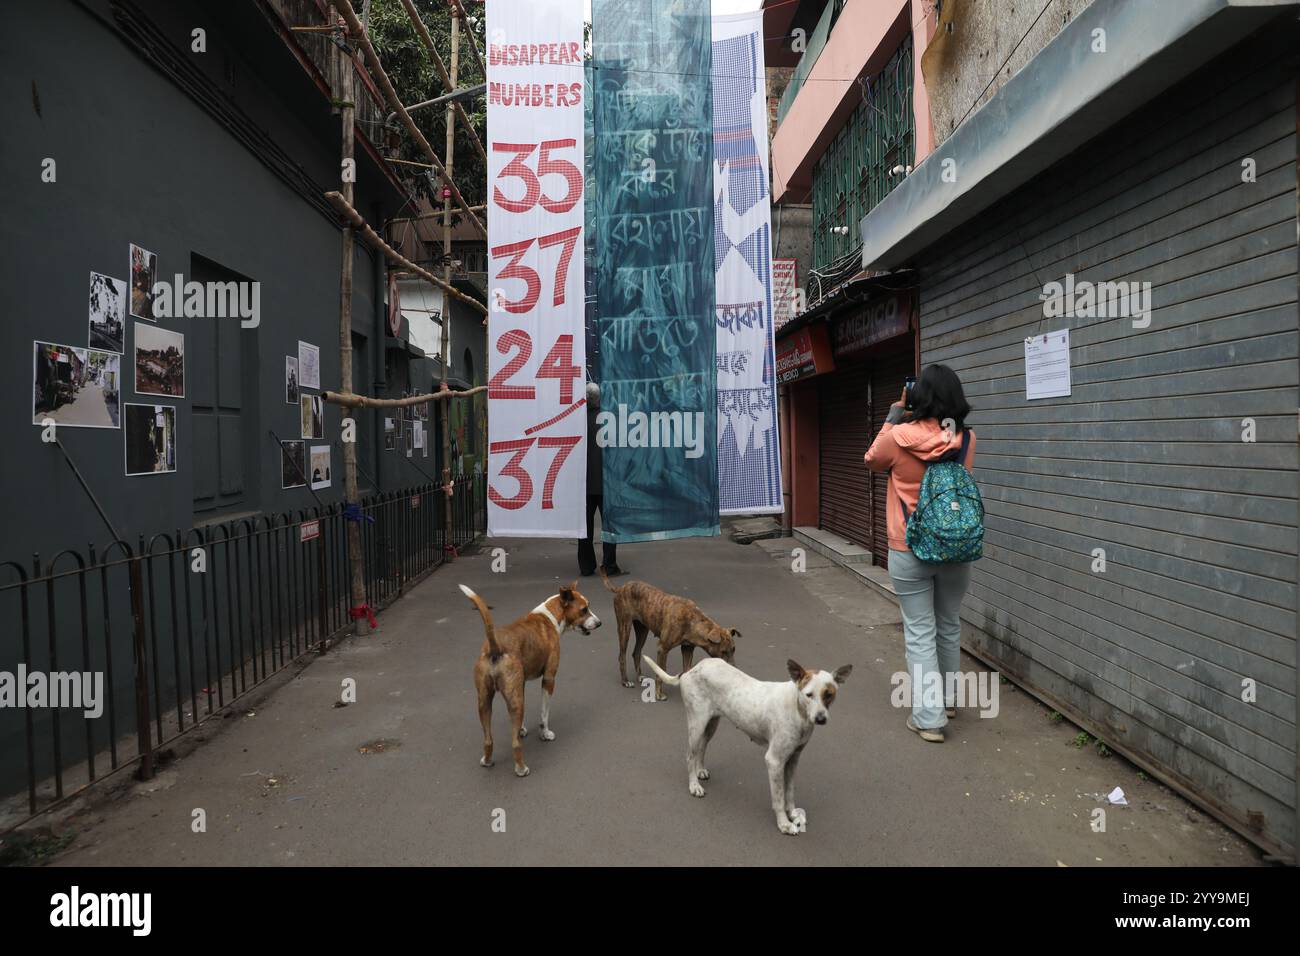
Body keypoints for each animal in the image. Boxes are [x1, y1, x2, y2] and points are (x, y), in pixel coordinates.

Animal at [457, 582, 598, 780]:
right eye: (584, 609)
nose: (599, 623)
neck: (550, 616)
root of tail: (495, 646)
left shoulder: (520, 686)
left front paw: (522, 729)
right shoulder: (549, 679)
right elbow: (544, 714)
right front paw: (545, 734)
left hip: (485, 702)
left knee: (488, 739)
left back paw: (487, 760)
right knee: (515, 744)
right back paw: (521, 769)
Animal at [600, 572, 743, 697]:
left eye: (734, 649)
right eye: (723, 651)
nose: (735, 670)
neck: (693, 621)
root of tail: (621, 588)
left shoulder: (687, 649)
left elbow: (687, 668)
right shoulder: (662, 649)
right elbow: (660, 673)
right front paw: (659, 694)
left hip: (642, 631)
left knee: (636, 652)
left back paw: (639, 676)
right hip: (625, 628)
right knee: (622, 656)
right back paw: (625, 681)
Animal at [642, 655, 852, 832]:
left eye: (829, 694)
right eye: (809, 695)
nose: (821, 719)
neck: (797, 709)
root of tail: (692, 669)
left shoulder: (793, 759)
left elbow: (790, 792)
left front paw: (793, 814)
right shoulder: (774, 761)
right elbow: (778, 797)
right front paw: (784, 823)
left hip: (711, 725)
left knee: (702, 747)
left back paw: (700, 770)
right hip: (697, 724)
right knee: (689, 755)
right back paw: (694, 785)